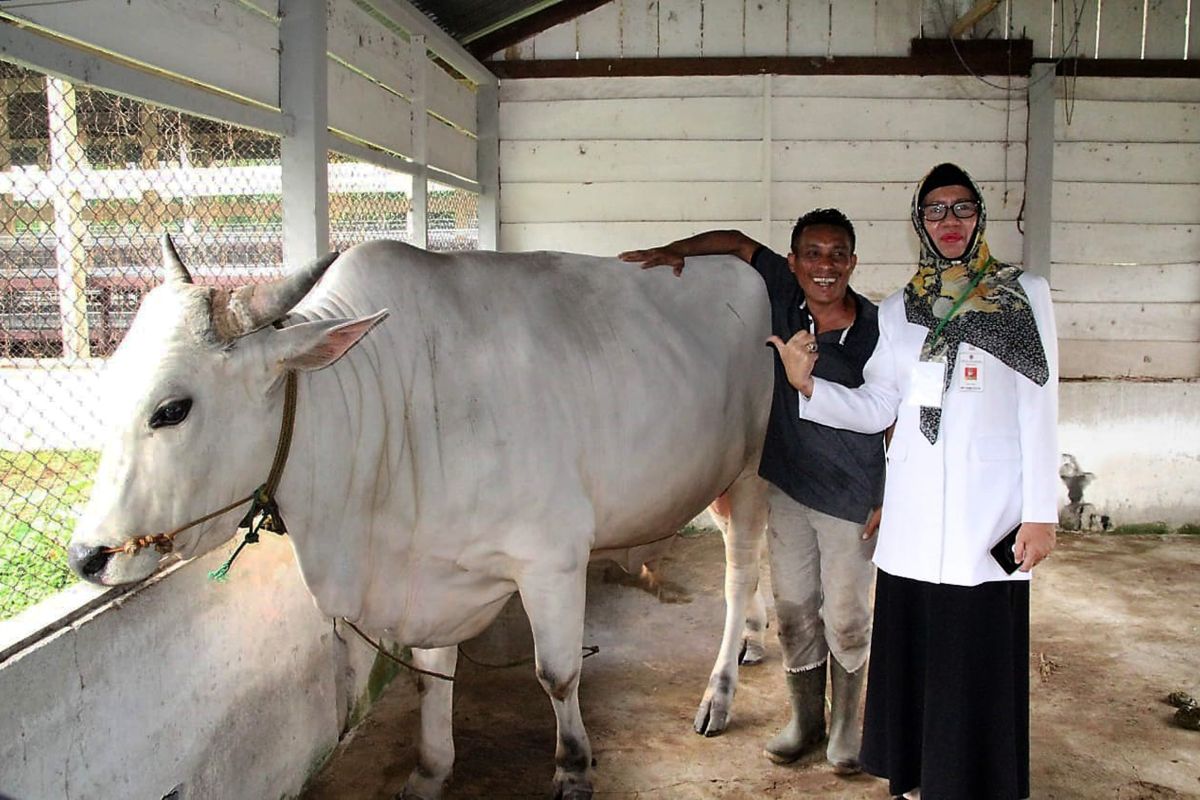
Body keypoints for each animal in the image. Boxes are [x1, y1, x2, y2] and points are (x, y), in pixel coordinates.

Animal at [68, 237, 768, 800]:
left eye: (172, 409)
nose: (87, 557)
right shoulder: (430, 571)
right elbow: (433, 680)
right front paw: (431, 770)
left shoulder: (552, 559)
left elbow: (558, 674)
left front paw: (573, 768)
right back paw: (758, 642)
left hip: (754, 475)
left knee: (739, 578)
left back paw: (720, 692)